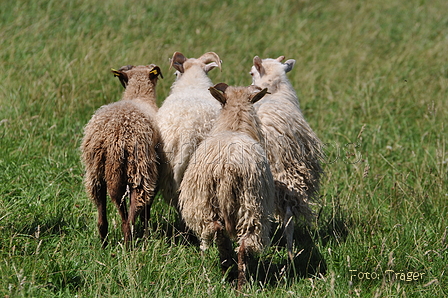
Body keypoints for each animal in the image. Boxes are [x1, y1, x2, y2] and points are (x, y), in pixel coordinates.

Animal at [81, 63, 164, 247]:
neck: (138, 96)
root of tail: (113, 135)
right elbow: (147, 208)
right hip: (139, 169)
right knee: (131, 214)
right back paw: (130, 244)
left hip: (96, 172)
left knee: (103, 212)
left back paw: (103, 243)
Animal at [178, 82, 274, 290]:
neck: (235, 125)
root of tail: (229, 167)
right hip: (251, 206)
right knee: (242, 245)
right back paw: (239, 283)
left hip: (206, 204)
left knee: (220, 232)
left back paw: (227, 271)